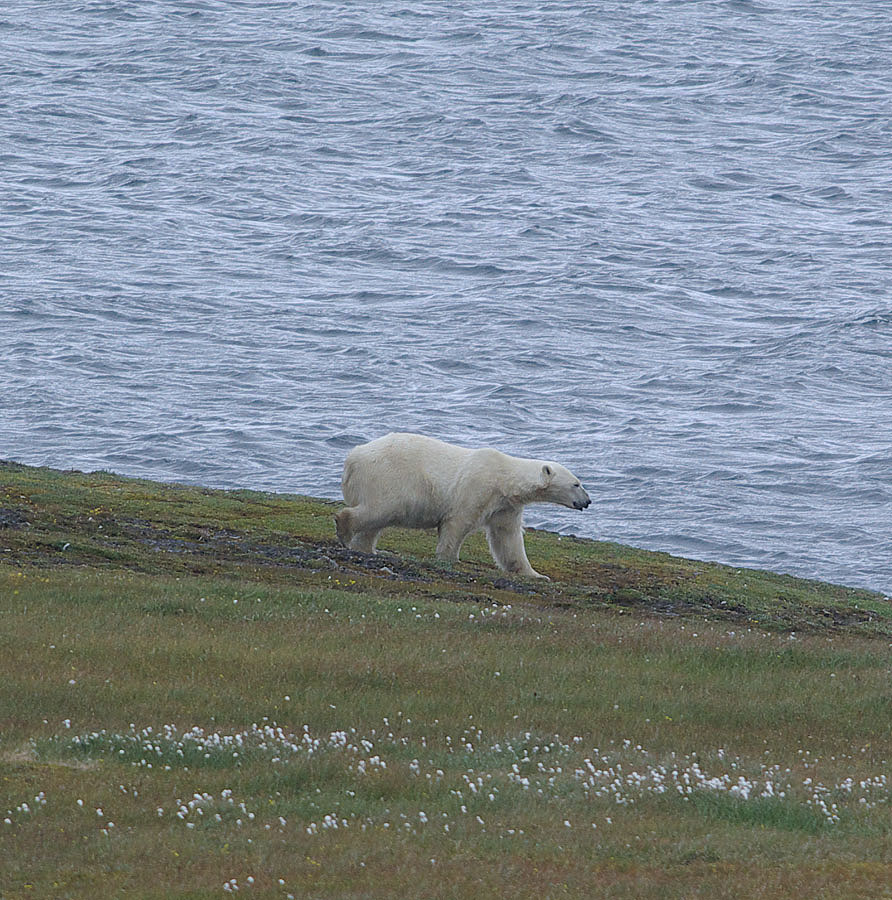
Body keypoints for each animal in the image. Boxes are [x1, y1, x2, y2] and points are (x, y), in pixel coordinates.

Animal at [334, 432, 592, 580]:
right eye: (576, 484)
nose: (588, 501)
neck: (504, 479)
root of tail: (353, 458)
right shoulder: (476, 487)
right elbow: (458, 522)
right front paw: (448, 558)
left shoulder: (506, 506)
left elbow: (507, 538)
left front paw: (536, 575)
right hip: (389, 477)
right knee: (380, 509)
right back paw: (344, 528)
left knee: (376, 520)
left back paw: (366, 548)